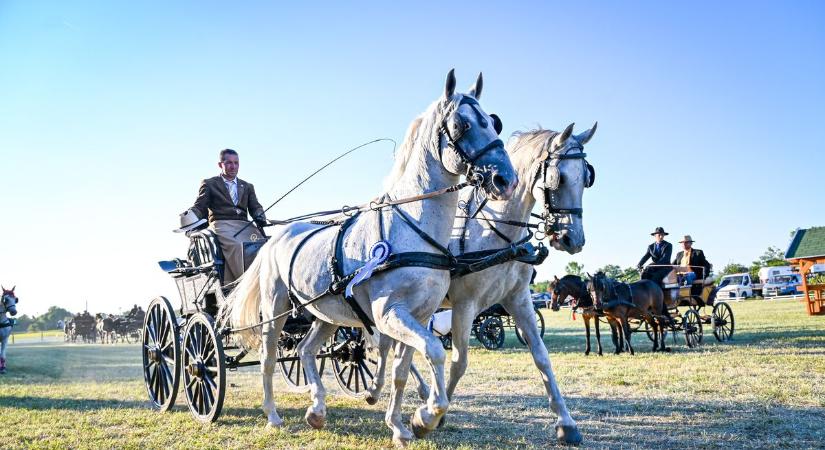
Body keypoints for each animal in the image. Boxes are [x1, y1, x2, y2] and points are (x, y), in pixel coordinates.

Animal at [222, 70, 520, 446]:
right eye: (460, 124)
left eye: (493, 122)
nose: (506, 179)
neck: (411, 228)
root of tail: (275, 238)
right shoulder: (390, 314)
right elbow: (434, 352)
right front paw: (427, 415)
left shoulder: (420, 316)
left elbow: (401, 371)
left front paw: (402, 426)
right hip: (276, 309)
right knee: (268, 358)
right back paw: (273, 416)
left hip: (327, 313)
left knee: (305, 349)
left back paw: (317, 411)